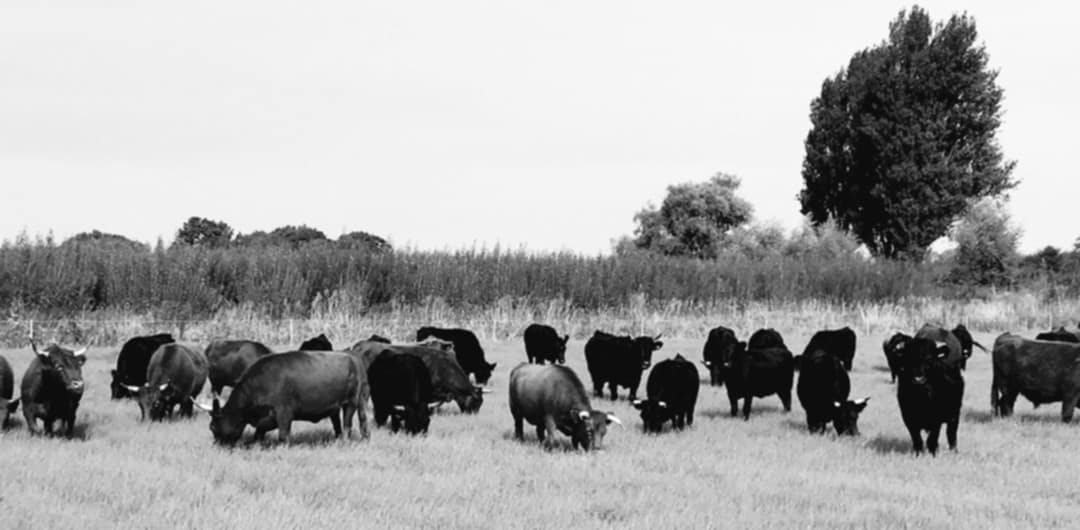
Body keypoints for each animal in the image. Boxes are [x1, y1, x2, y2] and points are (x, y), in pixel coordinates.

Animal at [198, 351, 367, 444]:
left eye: (212, 427)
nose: (216, 446)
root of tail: (353, 358)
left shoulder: (284, 412)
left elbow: (283, 435)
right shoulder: (267, 417)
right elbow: (259, 433)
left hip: (351, 403)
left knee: (347, 425)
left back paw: (344, 441)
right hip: (338, 407)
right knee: (349, 423)